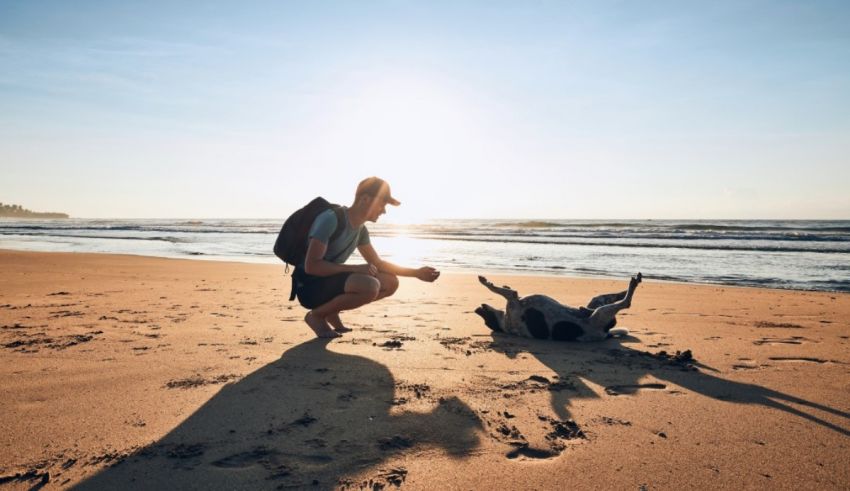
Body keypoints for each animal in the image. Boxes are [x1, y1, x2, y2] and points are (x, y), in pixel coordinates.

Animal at [474, 272, 640, 342]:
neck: (505, 324)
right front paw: (485, 282)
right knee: (626, 303)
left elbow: (500, 289)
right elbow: (496, 289)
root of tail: (607, 333)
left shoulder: (513, 300)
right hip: (600, 313)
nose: (480, 306)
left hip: (596, 304)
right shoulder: (513, 298)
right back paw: (633, 283)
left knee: (606, 299)